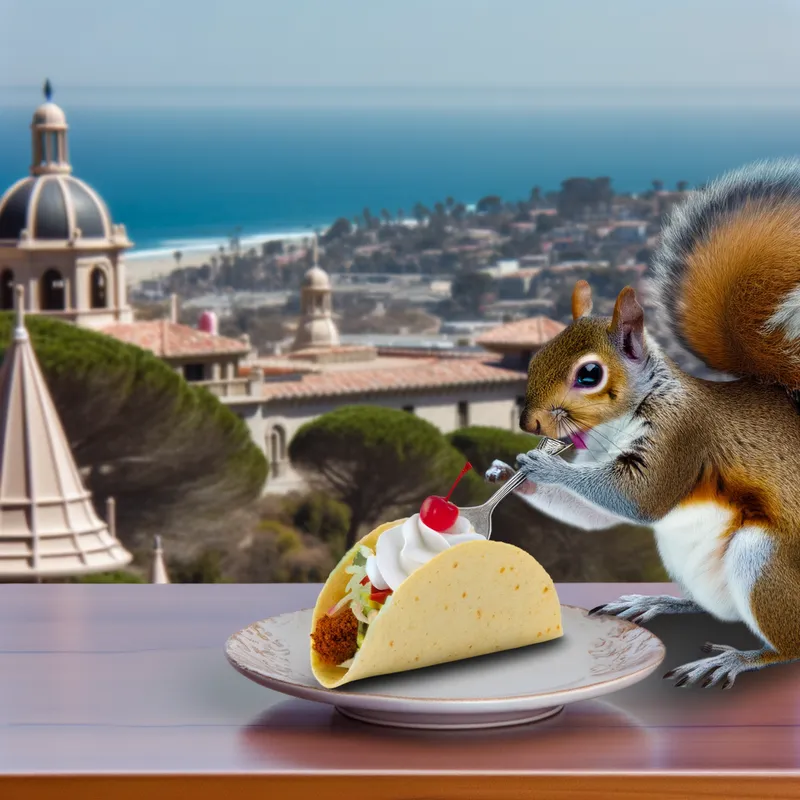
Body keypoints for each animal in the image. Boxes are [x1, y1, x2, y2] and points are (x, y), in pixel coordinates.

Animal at [486, 158, 800, 690]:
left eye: (589, 374)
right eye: (536, 355)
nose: (529, 423)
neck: (621, 422)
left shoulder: (684, 436)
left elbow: (640, 498)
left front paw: (546, 468)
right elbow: (593, 515)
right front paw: (509, 473)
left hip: (766, 564)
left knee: (789, 645)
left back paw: (736, 659)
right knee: (710, 607)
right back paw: (656, 600)